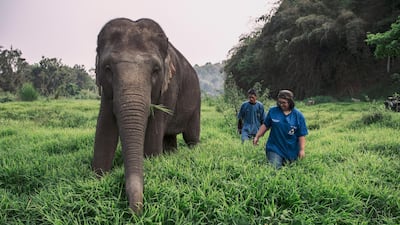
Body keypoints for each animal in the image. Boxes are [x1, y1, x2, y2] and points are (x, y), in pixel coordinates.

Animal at [93, 17, 200, 213]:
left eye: (156, 70)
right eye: (107, 68)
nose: (137, 213)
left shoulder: (168, 87)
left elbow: (153, 134)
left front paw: (153, 163)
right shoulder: (106, 92)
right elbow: (104, 130)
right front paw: (97, 179)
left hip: (196, 101)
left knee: (191, 137)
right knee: (169, 138)